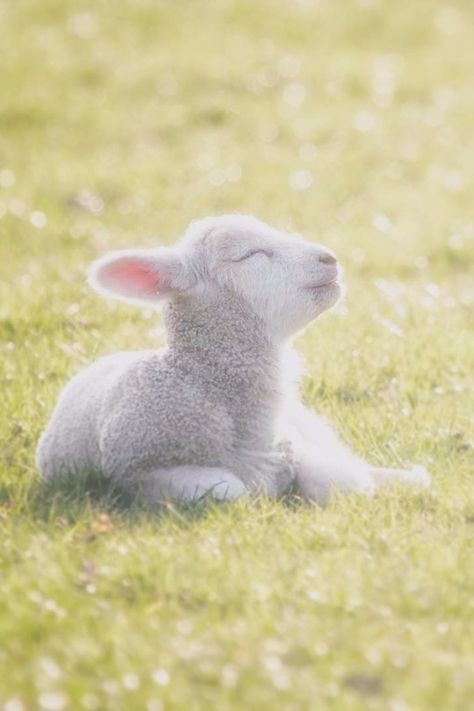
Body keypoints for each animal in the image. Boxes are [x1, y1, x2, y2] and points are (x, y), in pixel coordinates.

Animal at [36, 214, 430, 504]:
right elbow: (229, 489)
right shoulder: (139, 470)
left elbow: (343, 482)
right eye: (249, 255)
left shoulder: (294, 446)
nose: (329, 258)